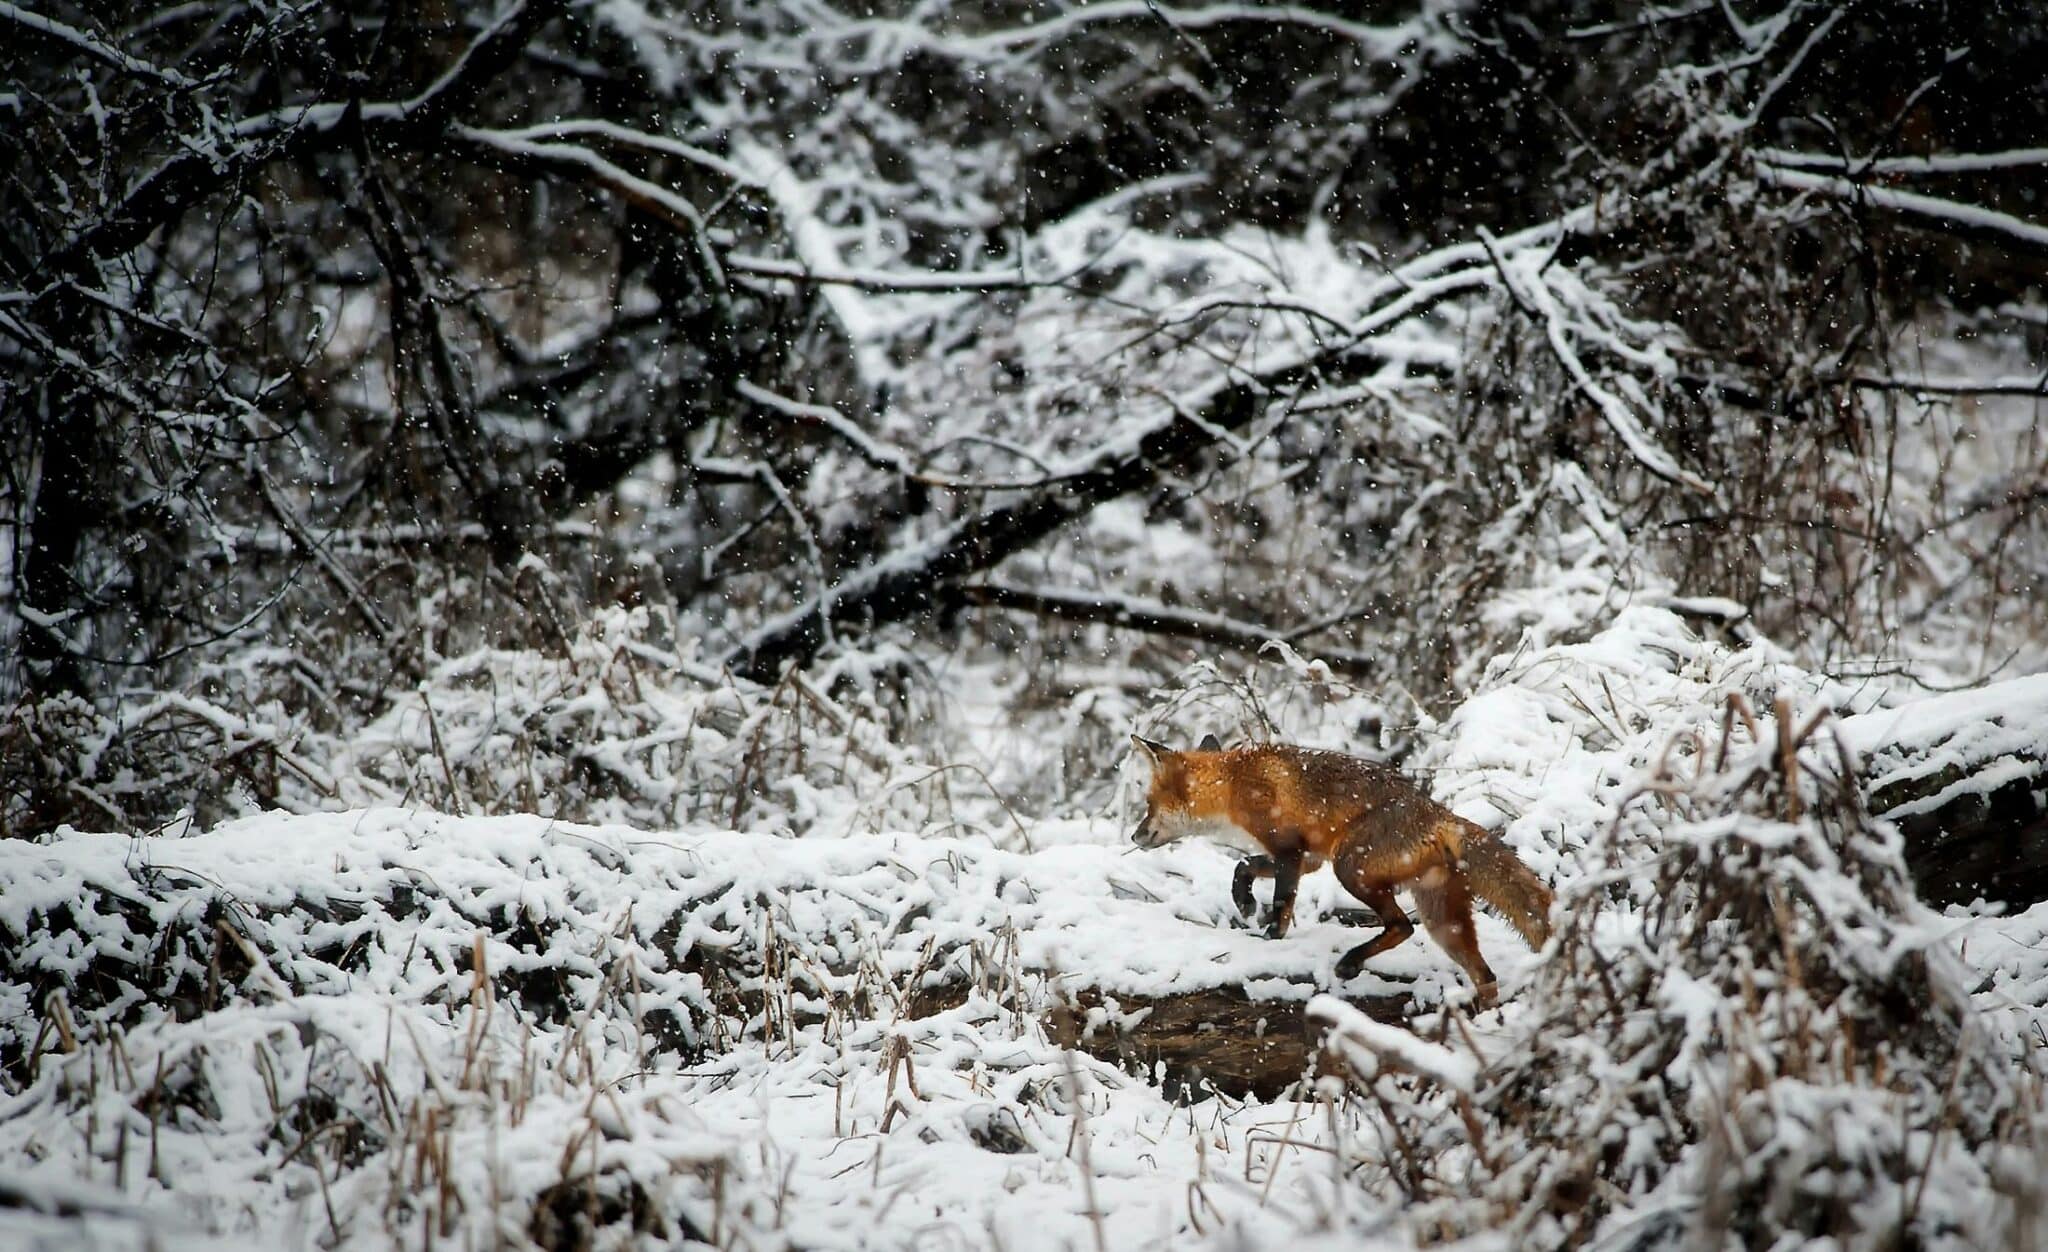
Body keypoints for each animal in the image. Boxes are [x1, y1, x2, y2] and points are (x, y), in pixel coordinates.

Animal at [1129, 734, 1553, 1005]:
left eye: (1148, 803)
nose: (1135, 835)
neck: (1233, 784)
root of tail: (1441, 814)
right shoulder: (1308, 857)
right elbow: (1243, 865)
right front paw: (1244, 901)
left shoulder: (1289, 849)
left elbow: (1281, 902)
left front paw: (1270, 937)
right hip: (1442, 921)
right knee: (1485, 977)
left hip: (1351, 869)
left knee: (1402, 926)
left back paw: (1351, 962)